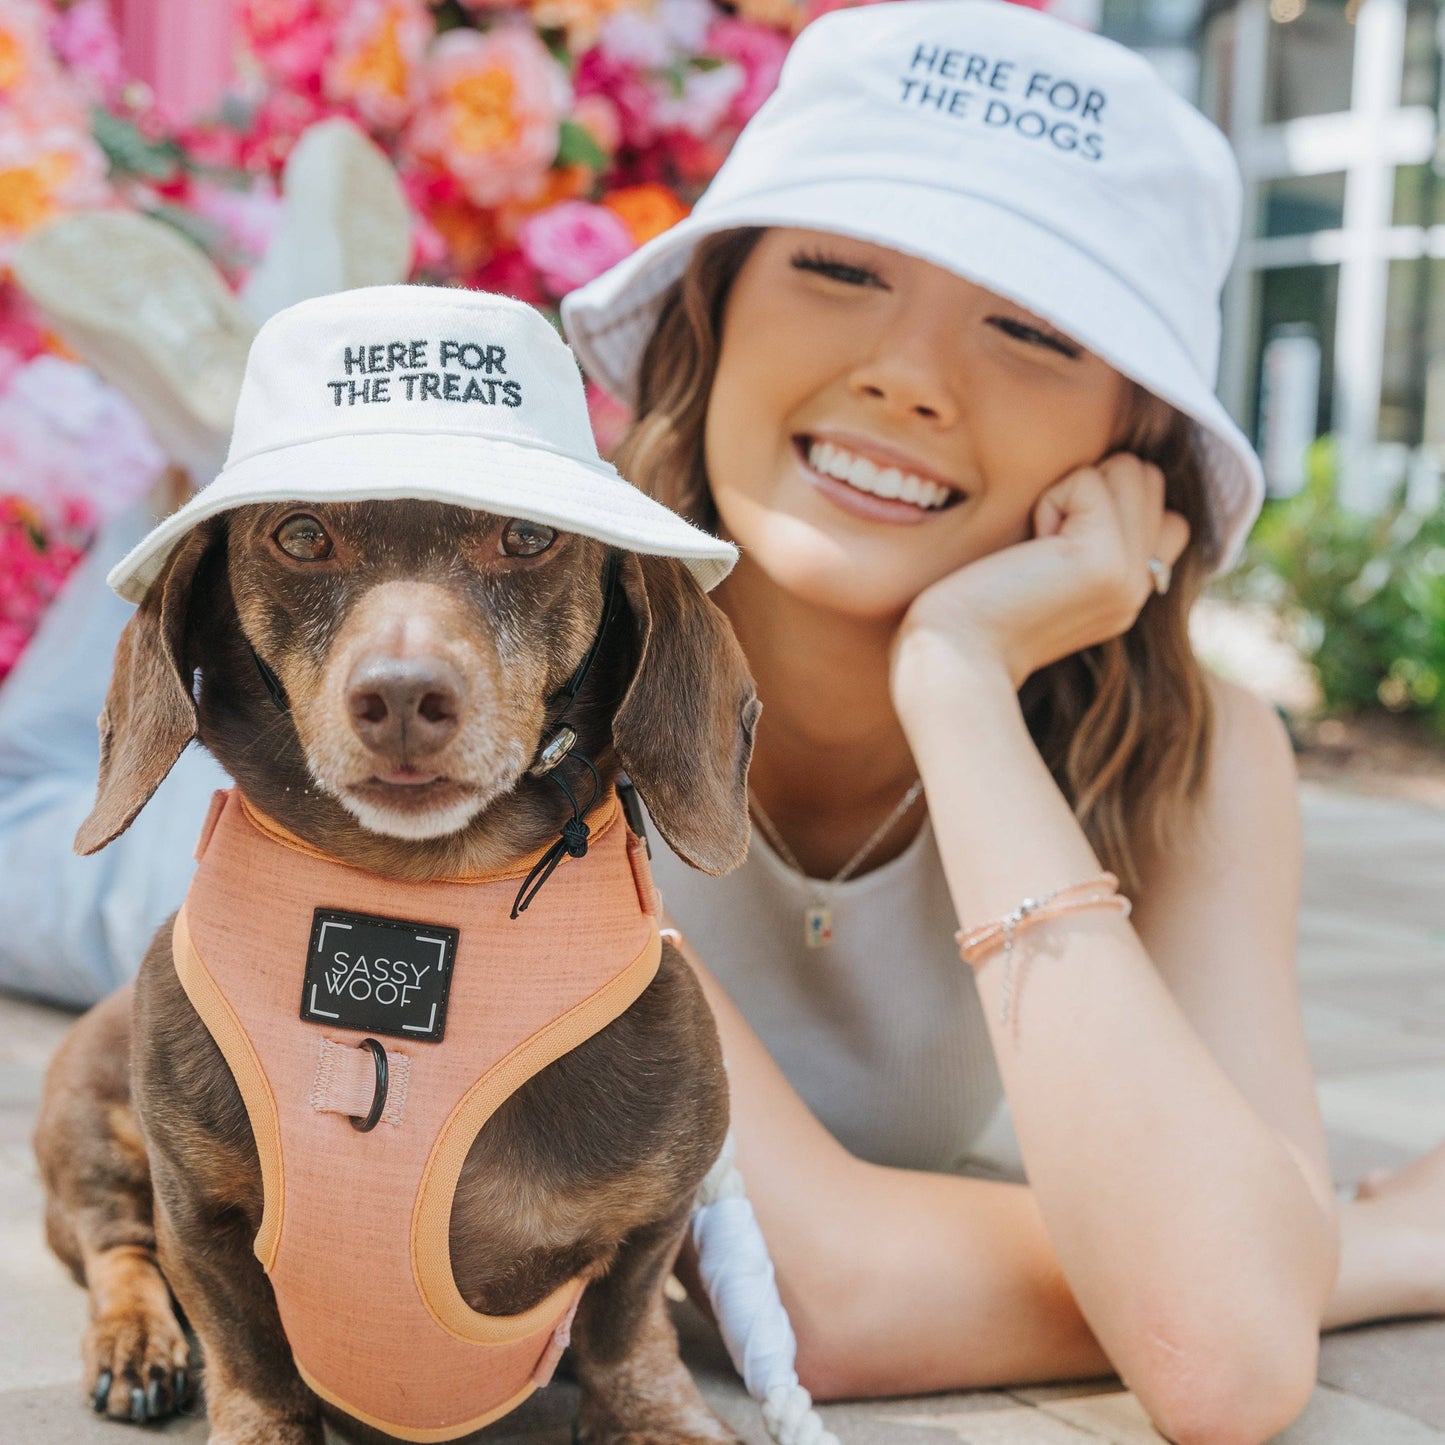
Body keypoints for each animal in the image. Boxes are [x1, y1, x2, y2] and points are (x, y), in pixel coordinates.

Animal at [31, 499, 757, 1445]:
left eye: (531, 536)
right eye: (301, 535)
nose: (404, 697)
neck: (419, 888)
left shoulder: (659, 1213)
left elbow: (623, 1330)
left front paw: (657, 1416)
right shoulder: (194, 1210)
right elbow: (251, 1356)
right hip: (92, 1131)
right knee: (117, 1244)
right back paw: (135, 1344)